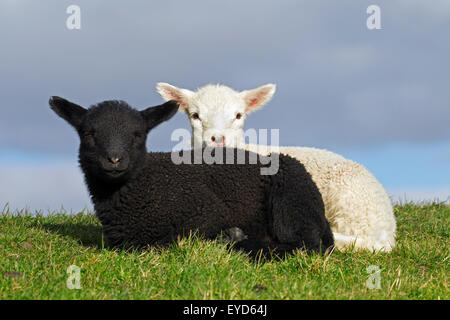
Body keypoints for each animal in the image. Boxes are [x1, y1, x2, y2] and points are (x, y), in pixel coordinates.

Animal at [50, 96, 334, 256]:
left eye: (138, 134)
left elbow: (171, 239)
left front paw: (231, 237)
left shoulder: (206, 212)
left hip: (291, 202)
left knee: (306, 246)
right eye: (89, 133)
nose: (115, 160)